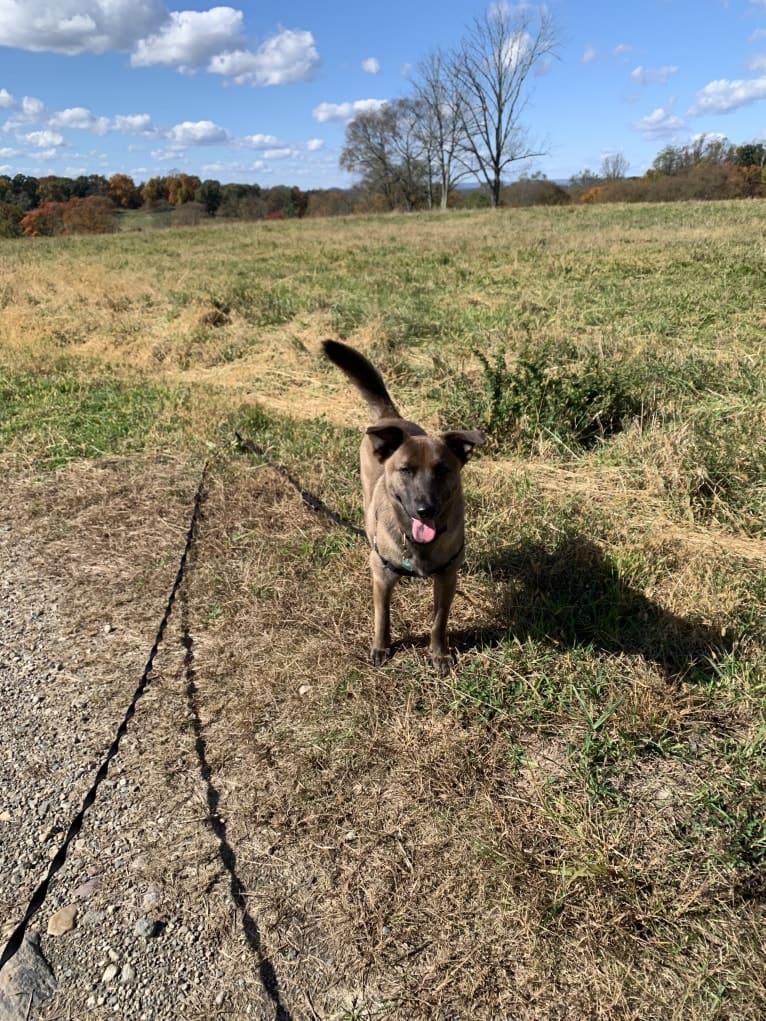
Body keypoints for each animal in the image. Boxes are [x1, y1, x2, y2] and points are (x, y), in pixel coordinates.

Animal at [324, 343, 486, 677]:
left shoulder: (447, 577)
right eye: (406, 470)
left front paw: (439, 654)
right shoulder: (382, 576)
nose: (426, 509)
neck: (417, 545)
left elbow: (439, 622)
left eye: (442, 470)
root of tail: (391, 418)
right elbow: (382, 616)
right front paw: (381, 647)